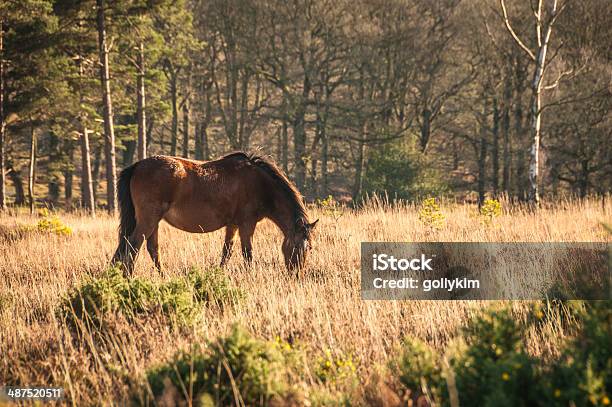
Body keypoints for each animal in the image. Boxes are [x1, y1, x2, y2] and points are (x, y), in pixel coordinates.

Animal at [111, 151, 320, 276]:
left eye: (310, 248)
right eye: (303, 247)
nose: (297, 275)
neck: (260, 184)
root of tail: (137, 166)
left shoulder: (233, 225)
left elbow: (227, 251)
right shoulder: (247, 224)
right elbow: (247, 253)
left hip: (153, 221)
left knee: (151, 249)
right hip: (148, 220)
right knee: (132, 247)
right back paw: (129, 278)